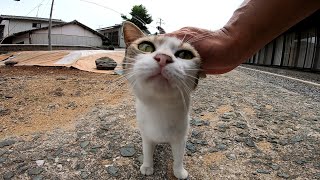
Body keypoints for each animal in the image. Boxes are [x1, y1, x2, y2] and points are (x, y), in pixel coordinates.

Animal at [121, 21, 204, 179]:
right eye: (145, 47)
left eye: (185, 54)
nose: (163, 58)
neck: (160, 107)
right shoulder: (146, 135)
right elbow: (147, 151)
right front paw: (147, 166)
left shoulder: (180, 138)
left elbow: (179, 156)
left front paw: (179, 171)